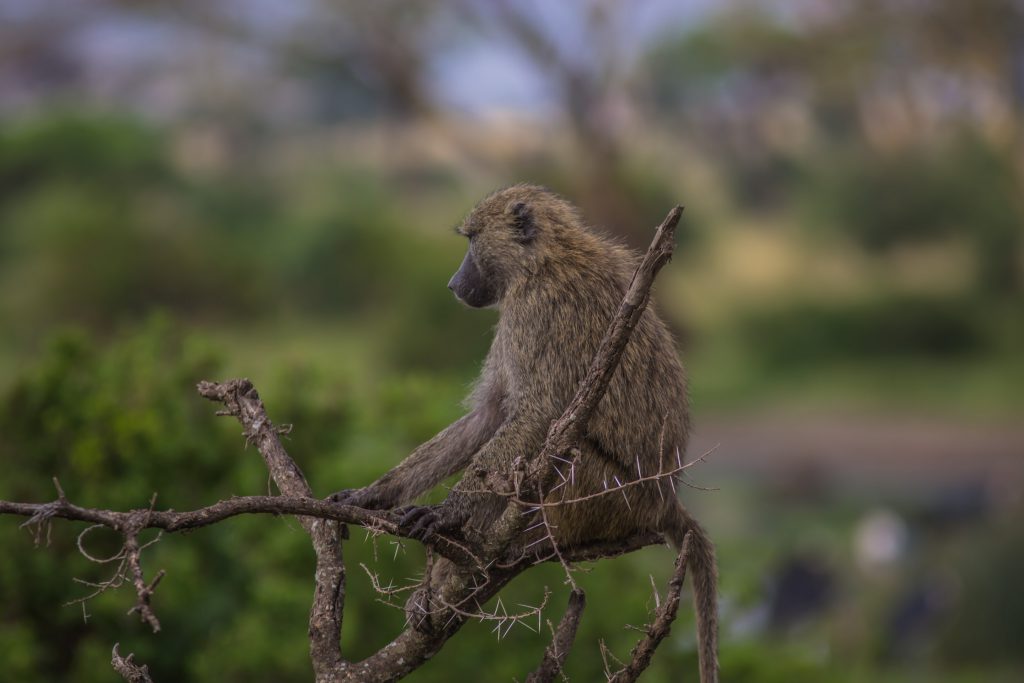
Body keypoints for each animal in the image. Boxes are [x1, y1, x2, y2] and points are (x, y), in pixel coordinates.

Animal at [332, 184, 718, 683]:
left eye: (471, 239)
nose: (453, 284)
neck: (545, 258)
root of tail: (665, 498)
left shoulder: (534, 309)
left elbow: (538, 414)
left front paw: (447, 514)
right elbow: (489, 415)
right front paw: (372, 495)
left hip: (609, 497)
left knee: (562, 455)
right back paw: (439, 585)